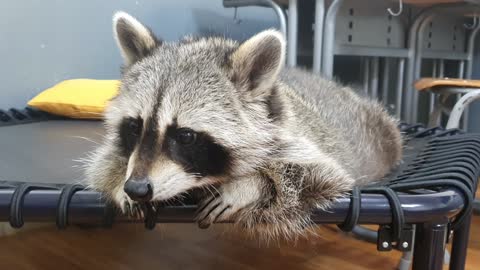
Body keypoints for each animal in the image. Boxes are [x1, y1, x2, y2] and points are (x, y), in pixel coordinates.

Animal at [84, 11, 404, 242]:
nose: (136, 188)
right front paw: (117, 182)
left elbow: (318, 177)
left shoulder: (304, 146)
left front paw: (250, 185)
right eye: (134, 127)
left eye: (185, 136)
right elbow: (103, 163)